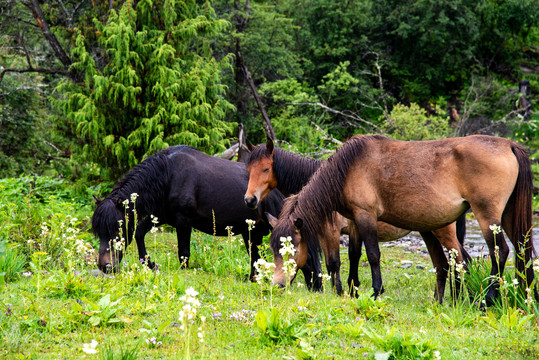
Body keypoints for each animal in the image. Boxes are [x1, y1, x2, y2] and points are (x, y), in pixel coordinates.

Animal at [90, 145, 322, 286]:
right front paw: (150, 264)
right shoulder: (161, 216)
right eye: (98, 231)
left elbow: (183, 255)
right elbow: (139, 233)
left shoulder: (183, 223)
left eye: (117, 228)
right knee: (257, 259)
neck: (167, 174)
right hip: (253, 233)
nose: (105, 266)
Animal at [247, 139, 470, 300]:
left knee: (460, 259)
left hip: (442, 231)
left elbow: (333, 262)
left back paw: (458, 298)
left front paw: (340, 291)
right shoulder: (348, 228)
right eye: (249, 170)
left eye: (266, 169)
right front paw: (351, 290)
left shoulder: (331, 231)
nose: (250, 199)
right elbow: (350, 257)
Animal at [270, 135, 536, 306]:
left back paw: (487, 299)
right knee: (520, 252)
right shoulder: (354, 221)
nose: (277, 285)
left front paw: (376, 293)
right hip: (508, 216)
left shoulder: (365, 215)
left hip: (486, 216)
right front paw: (353, 291)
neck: (349, 168)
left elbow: (372, 255)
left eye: (291, 249)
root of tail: (509, 144)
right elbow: (354, 256)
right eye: (273, 249)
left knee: (500, 252)